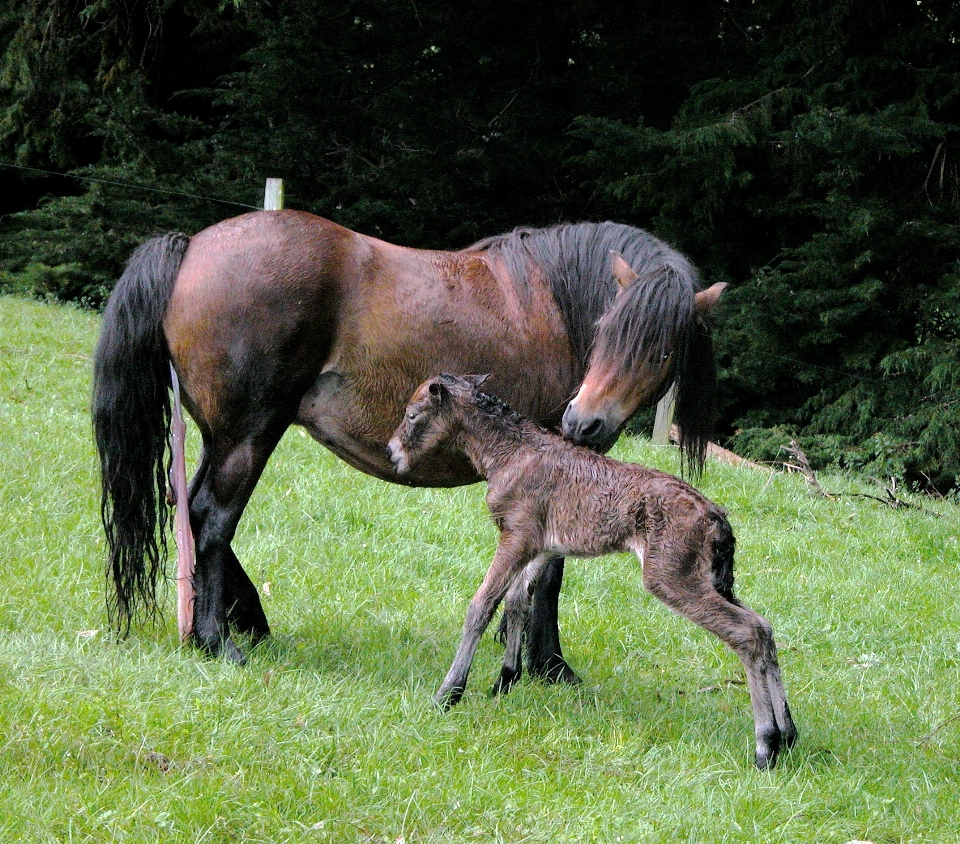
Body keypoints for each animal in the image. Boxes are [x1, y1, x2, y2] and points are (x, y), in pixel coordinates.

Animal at [386, 372, 800, 768]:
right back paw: (788, 734)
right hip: (712, 579)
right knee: (763, 627)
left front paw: (448, 694)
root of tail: (718, 518)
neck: (510, 453)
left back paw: (765, 745)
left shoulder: (516, 536)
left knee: (746, 632)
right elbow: (518, 602)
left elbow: (482, 606)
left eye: (412, 414)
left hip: (670, 577)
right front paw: (505, 681)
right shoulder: (542, 545)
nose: (392, 451)